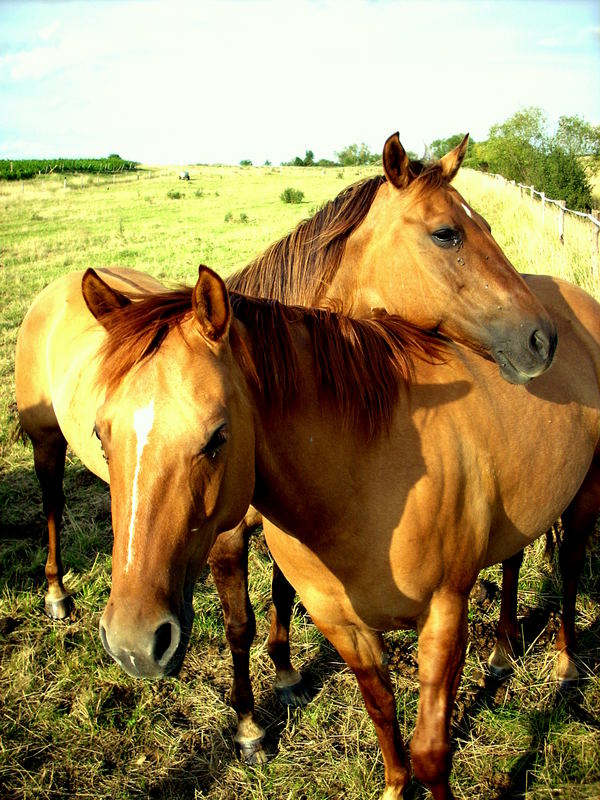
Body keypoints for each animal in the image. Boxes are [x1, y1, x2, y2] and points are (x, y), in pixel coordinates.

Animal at [29, 268, 600, 800]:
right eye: (101, 434)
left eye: (217, 438)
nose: (134, 644)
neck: (366, 471)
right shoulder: (340, 623)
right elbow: (383, 714)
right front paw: (394, 786)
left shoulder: (444, 614)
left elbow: (432, 751)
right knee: (514, 560)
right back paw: (501, 656)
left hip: (584, 497)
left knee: (571, 567)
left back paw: (566, 665)